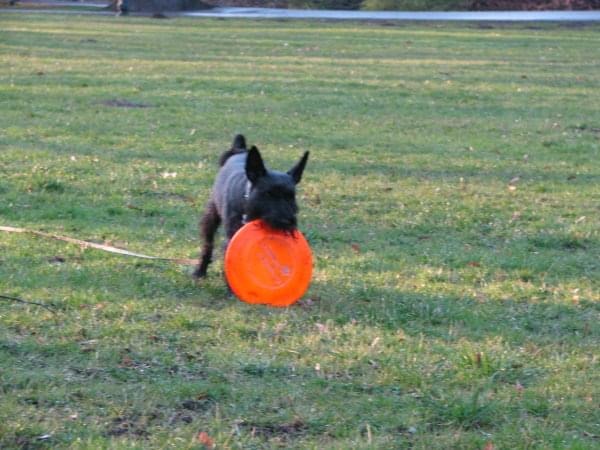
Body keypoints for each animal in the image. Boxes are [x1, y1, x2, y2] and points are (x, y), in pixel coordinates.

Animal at [195, 134, 310, 278]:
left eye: (291, 196)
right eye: (268, 193)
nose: (286, 222)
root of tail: (240, 150)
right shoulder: (232, 236)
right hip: (211, 217)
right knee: (207, 244)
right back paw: (200, 270)